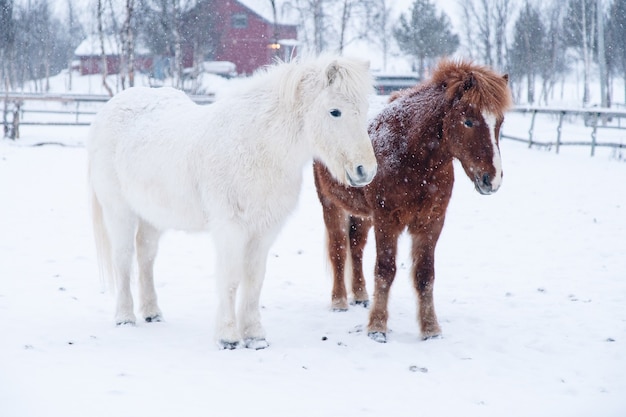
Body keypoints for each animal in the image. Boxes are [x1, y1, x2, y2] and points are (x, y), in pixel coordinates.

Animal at [87, 55, 376, 348]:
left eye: (364, 108)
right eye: (335, 111)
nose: (366, 170)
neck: (258, 148)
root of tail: (109, 109)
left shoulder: (264, 231)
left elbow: (253, 280)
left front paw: (254, 335)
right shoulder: (231, 229)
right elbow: (230, 279)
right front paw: (228, 337)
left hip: (152, 216)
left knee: (146, 256)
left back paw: (152, 312)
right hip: (119, 211)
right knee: (124, 258)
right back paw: (125, 317)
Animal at [314, 58, 510, 342]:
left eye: (500, 122)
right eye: (469, 121)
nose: (492, 180)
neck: (412, 154)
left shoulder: (431, 222)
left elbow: (425, 274)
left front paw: (430, 328)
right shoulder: (387, 221)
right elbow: (385, 270)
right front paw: (377, 327)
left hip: (363, 215)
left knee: (356, 247)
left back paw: (360, 295)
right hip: (331, 206)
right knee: (338, 250)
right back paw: (339, 300)